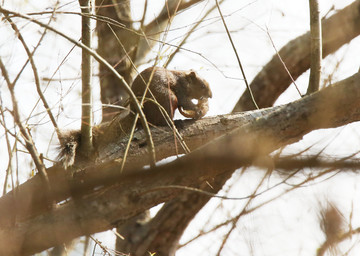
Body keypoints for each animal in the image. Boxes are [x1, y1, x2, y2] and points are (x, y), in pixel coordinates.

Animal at [57, 67, 212, 169]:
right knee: (160, 121)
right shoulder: (180, 90)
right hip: (166, 99)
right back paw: (175, 122)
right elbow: (185, 102)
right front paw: (198, 110)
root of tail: (137, 115)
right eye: (202, 85)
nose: (210, 96)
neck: (182, 78)